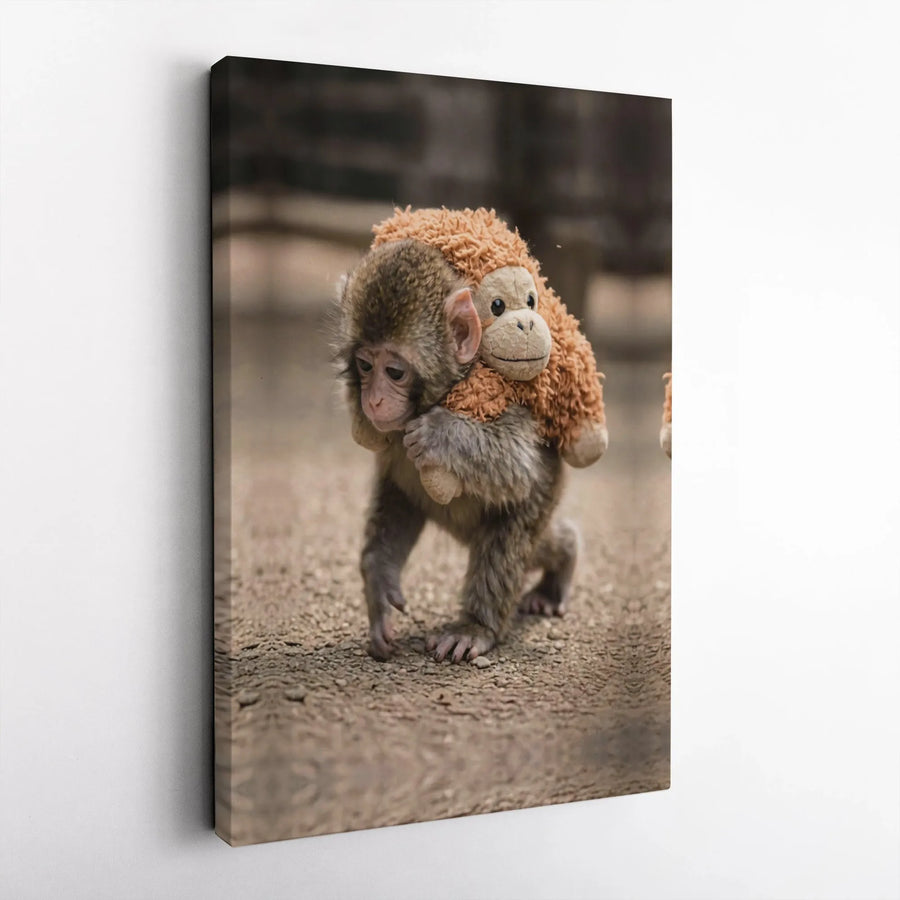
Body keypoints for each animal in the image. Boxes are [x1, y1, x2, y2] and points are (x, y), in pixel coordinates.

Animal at [334, 240, 580, 663]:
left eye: (394, 372)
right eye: (365, 365)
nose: (374, 400)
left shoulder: (501, 398)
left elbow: (519, 465)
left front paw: (440, 434)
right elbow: (399, 496)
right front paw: (379, 582)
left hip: (547, 491)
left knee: (517, 530)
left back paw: (481, 624)